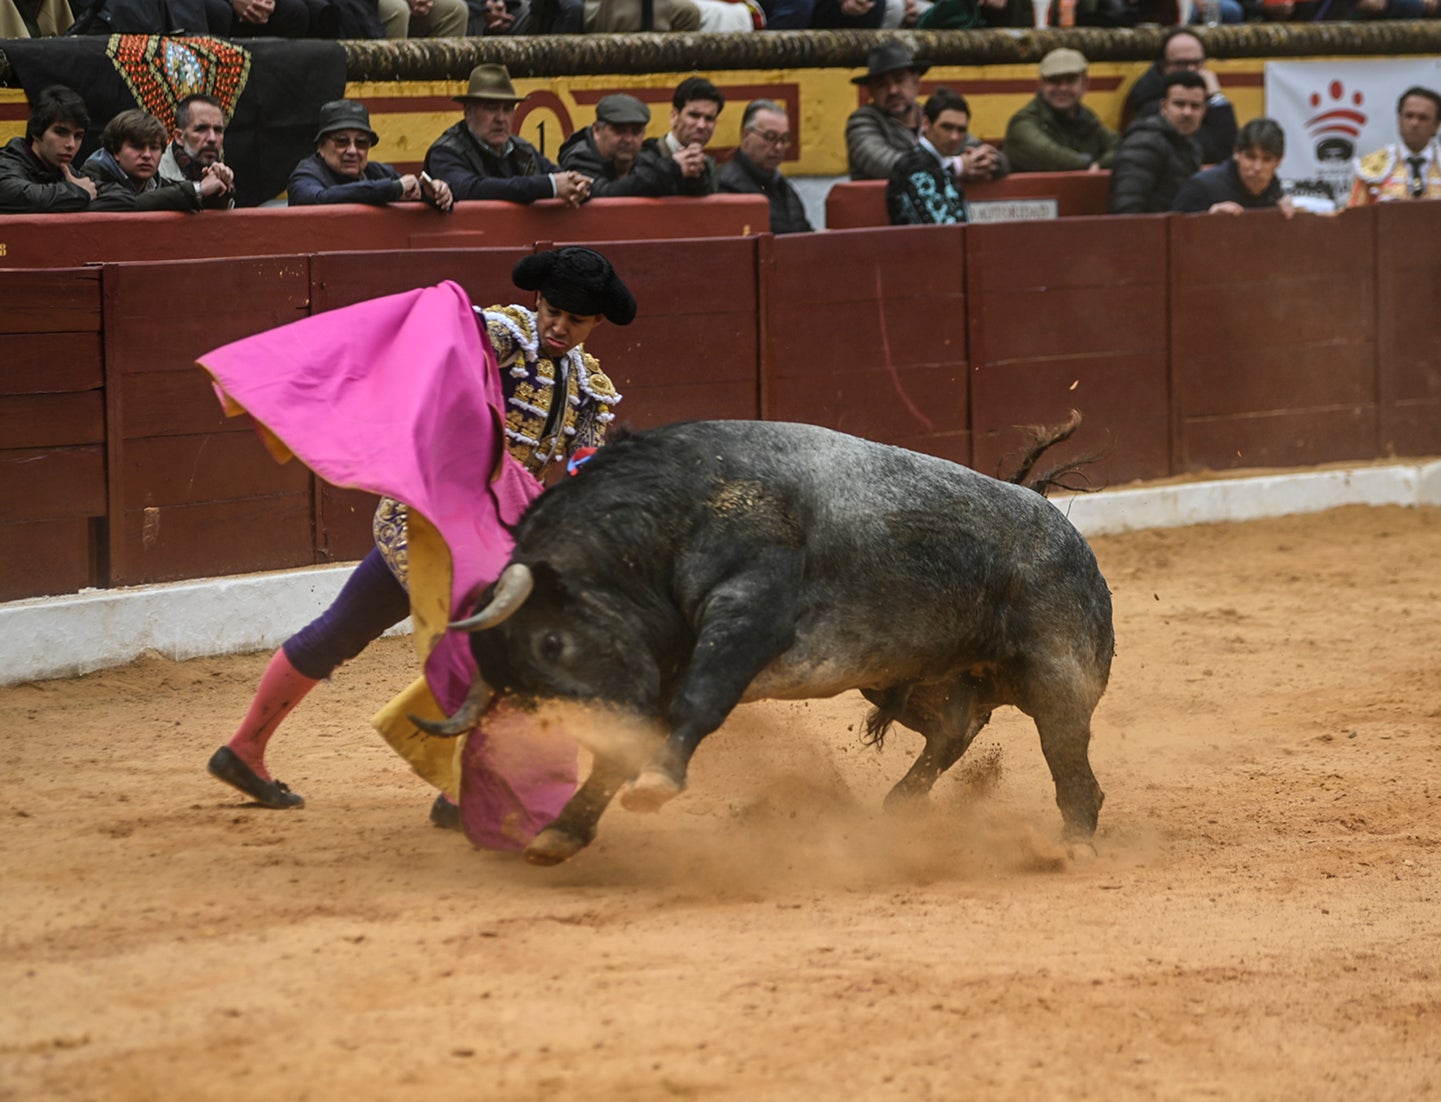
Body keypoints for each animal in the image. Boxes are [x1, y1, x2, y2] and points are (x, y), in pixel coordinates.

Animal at [420, 417, 1112, 864]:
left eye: (552, 643)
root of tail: (1058, 525)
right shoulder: (652, 673)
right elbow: (627, 748)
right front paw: (562, 832)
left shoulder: (748, 615)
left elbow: (698, 703)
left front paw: (653, 784)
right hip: (908, 674)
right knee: (953, 730)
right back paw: (901, 806)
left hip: (1059, 675)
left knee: (1066, 757)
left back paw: (1072, 844)